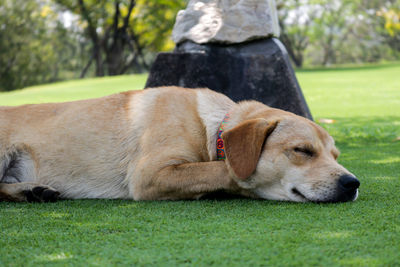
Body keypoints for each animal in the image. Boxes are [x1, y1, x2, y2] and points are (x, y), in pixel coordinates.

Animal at [0, 87, 360, 203]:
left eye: (335, 155)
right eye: (302, 151)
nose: (352, 183)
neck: (211, 128)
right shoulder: (149, 174)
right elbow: (222, 170)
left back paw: (31, 191)